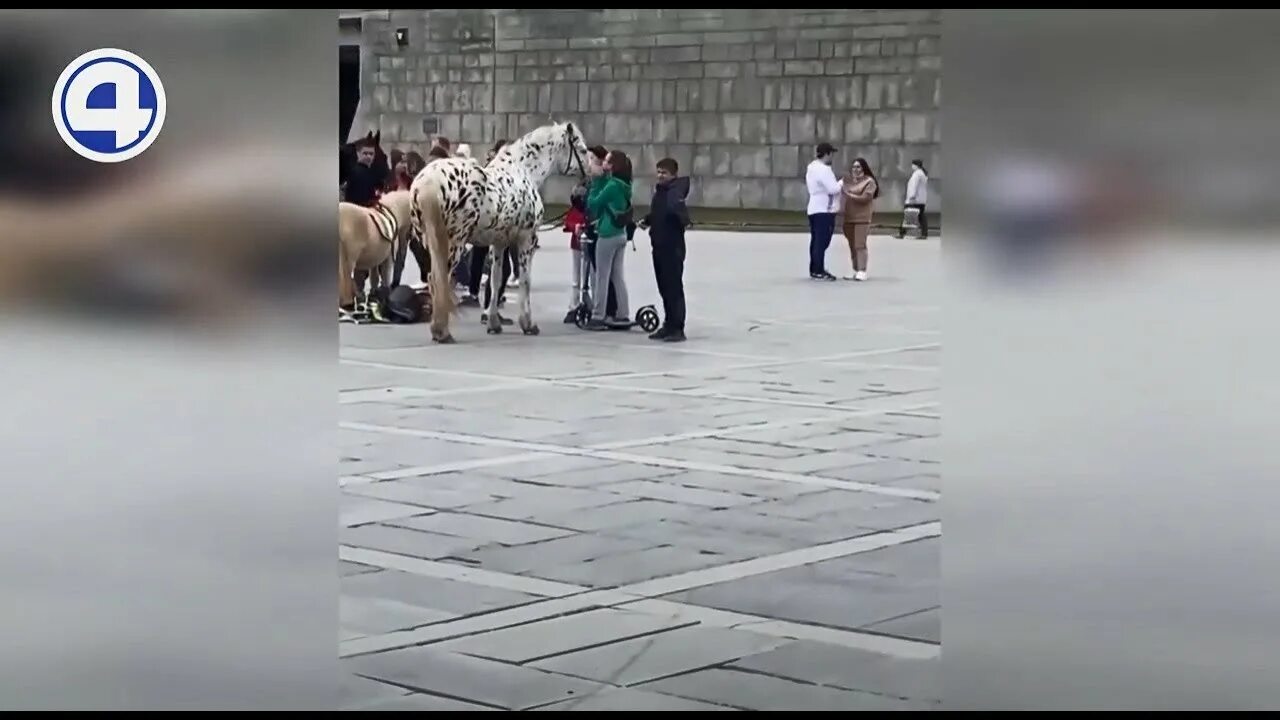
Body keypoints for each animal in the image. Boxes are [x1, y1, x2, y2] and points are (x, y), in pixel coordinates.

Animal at [409, 119, 588, 343]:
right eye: (582, 149)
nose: (590, 174)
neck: (523, 171)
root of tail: (427, 183)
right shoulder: (526, 240)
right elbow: (525, 280)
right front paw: (528, 324)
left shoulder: (499, 243)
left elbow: (495, 280)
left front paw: (493, 322)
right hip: (453, 244)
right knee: (439, 280)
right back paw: (442, 332)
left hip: (430, 243)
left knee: (434, 280)